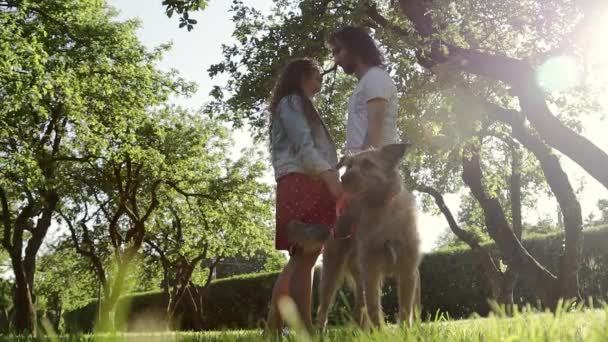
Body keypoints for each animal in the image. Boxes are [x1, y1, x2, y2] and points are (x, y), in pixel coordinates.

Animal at [316, 144, 420, 328]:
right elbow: (374, 308)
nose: (343, 178)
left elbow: (405, 310)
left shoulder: (408, 270)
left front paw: (405, 331)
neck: (382, 208)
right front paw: (380, 331)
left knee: (359, 307)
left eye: (368, 164)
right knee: (324, 307)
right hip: (331, 273)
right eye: (349, 166)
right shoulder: (371, 272)